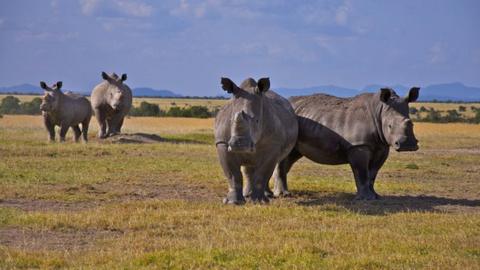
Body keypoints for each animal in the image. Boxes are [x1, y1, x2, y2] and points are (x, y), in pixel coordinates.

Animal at [274, 87, 420, 199]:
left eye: (412, 124)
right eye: (389, 126)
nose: (407, 146)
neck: (379, 111)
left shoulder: (382, 147)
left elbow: (373, 173)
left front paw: (375, 196)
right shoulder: (359, 146)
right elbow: (362, 172)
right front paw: (365, 199)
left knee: (292, 156)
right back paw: (283, 195)